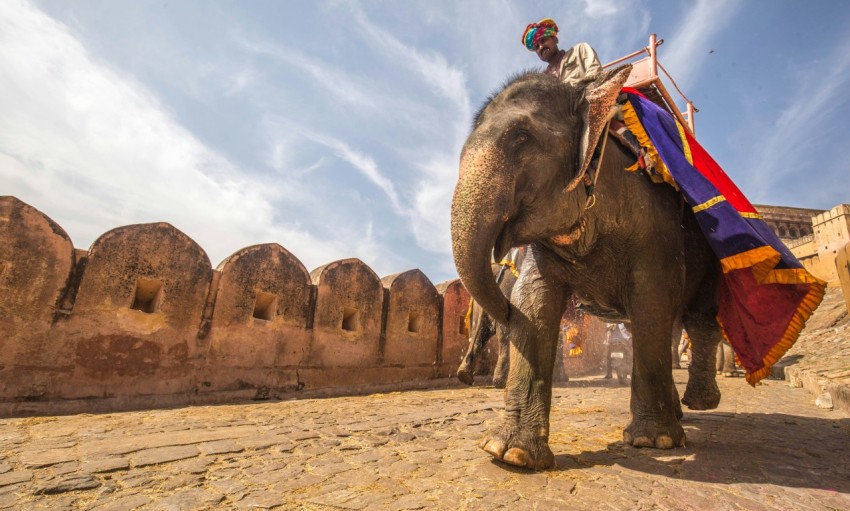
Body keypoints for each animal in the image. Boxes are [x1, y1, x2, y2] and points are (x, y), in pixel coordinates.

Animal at [450, 66, 724, 470]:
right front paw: (510, 454)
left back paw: (700, 403)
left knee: (698, 319)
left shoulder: (656, 227)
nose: (504, 309)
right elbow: (533, 302)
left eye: (521, 137)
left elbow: (652, 302)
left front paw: (653, 442)